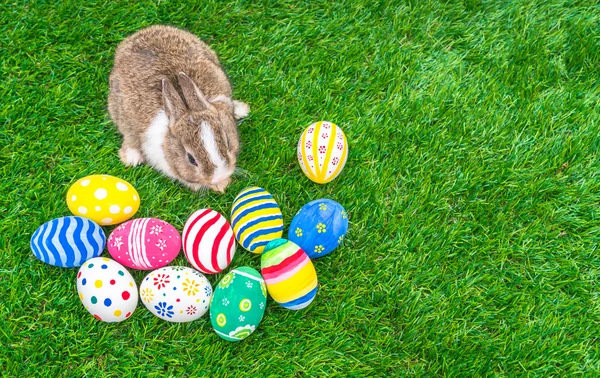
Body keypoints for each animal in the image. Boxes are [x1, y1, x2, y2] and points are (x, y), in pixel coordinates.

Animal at [108, 24, 248, 192]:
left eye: (227, 142)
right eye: (191, 159)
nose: (219, 176)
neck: (186, 107)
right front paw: (220, 186)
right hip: (119, 110)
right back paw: (131, 157)